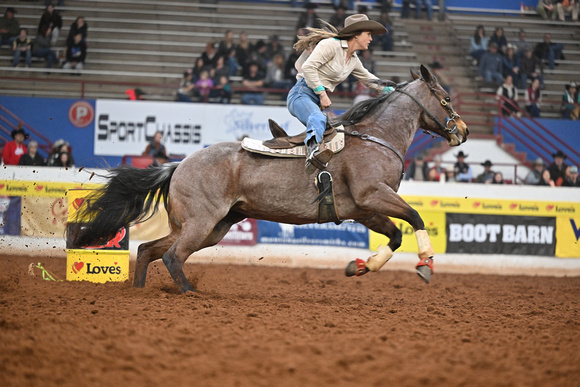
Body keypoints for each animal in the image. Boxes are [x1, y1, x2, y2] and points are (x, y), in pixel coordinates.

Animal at [72, 65, 468, 292]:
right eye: (446, 98)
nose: (462, 131)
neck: (376, 138)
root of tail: (178, 165)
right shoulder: (373, 195)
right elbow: (415, 217)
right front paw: (426, 264)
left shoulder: (364, 210)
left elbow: (396, 235)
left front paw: (360, 266)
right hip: (201, 223)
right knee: (171, 257)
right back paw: (190, 294)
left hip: (209, 227)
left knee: (147, 250)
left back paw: (138, 292)